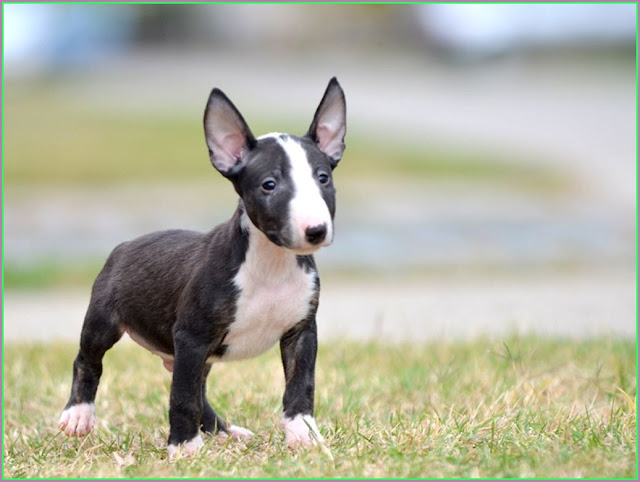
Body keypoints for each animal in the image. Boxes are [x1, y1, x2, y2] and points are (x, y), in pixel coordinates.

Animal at [58, 78, 348, 456]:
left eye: (323, 178)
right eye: (269, 185)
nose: (316, 231)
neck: (271, 263)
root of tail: (124, 245)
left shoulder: (300, 331)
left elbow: (301, 385)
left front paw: (303, 435)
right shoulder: (191, 336)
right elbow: (182, 398)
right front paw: (183, 448)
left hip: (198, 354)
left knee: (199, 388)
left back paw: (224, 431)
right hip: (106, 320)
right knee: (88, 359)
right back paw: (79, 414)